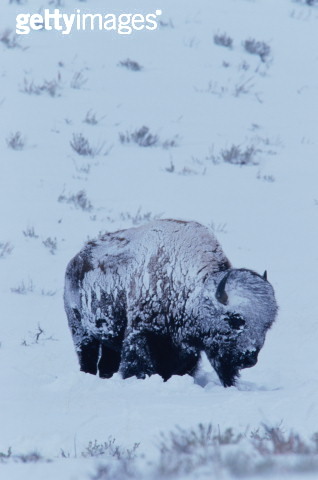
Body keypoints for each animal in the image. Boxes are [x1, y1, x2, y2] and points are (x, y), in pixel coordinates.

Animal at [65, 219, 278, 388]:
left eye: (268, 324)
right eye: (235, 319)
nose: (249, 358)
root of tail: (75, 260)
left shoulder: (185, 350)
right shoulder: (142, 334)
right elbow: (137, 363)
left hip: (108, 339)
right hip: (81, 332)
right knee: (87, 358)